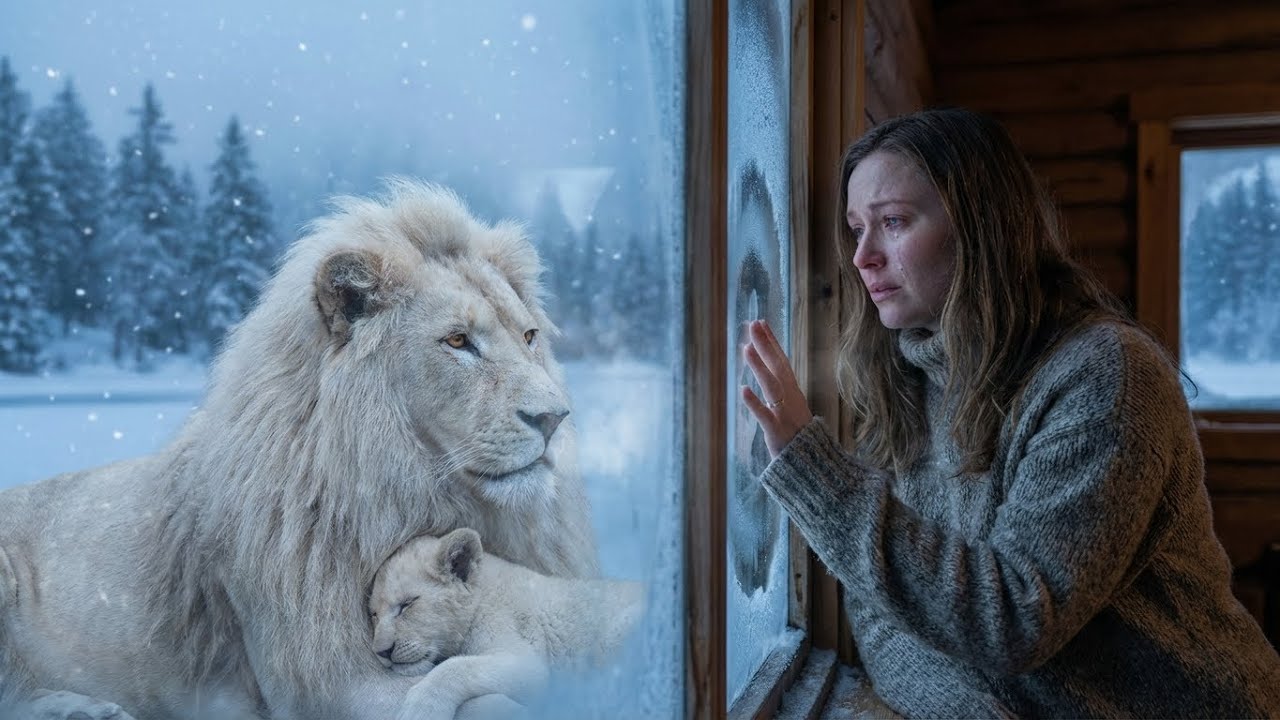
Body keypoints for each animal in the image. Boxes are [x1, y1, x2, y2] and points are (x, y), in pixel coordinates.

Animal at [368, 528, 643, 720]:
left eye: (407, 604)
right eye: (374, 615)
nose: (382, 652)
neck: (481, 595)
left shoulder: (526, 658)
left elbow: (456, 667)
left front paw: (420, 709)